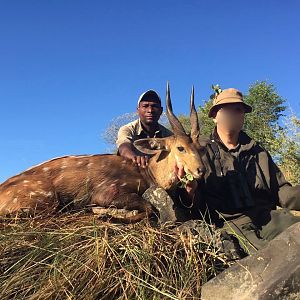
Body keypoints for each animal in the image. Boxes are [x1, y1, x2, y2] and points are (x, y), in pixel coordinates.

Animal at [0, 83, 205, 221]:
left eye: (201, 148)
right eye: (180, 147)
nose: (200, 170)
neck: (149, 173)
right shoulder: (106, 192)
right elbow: (148, 208)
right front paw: (104, 213)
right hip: (47, 201)